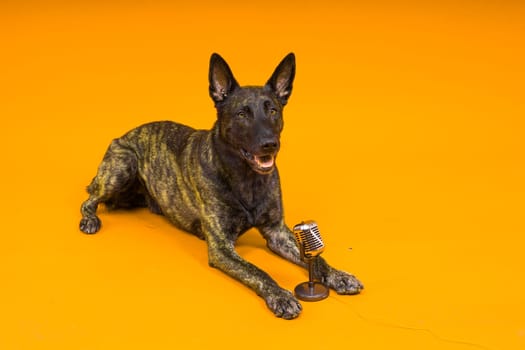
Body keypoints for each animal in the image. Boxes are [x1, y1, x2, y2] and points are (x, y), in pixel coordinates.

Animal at [80, 53, 362, 318]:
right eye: (241, 114)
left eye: (273, 110)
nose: (270, 144)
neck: (246, 178)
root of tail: (126, 134)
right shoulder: (221, 247)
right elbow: (256, 270)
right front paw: (280, 295)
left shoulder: (278, 232)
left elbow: (317, 259)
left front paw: (338, 275)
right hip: (122, 166)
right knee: (89, 200)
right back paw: (90, 219)